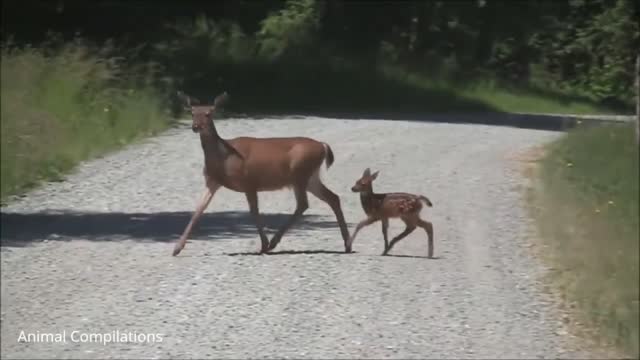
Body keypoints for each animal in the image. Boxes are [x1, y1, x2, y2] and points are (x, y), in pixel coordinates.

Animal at [171, 91, 350, 258]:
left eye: (209, 113)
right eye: (192, 112)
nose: (195, 126)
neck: (224, 158)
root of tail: (323, 145)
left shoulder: (249, 181)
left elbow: (254, 211)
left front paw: (263, 244)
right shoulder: (213, 181)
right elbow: (198, 210)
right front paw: (176, 248)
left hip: (300, 174)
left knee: (303, 204)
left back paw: (273, 243)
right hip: (311, 177)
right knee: (332, 197)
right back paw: (347, 244)